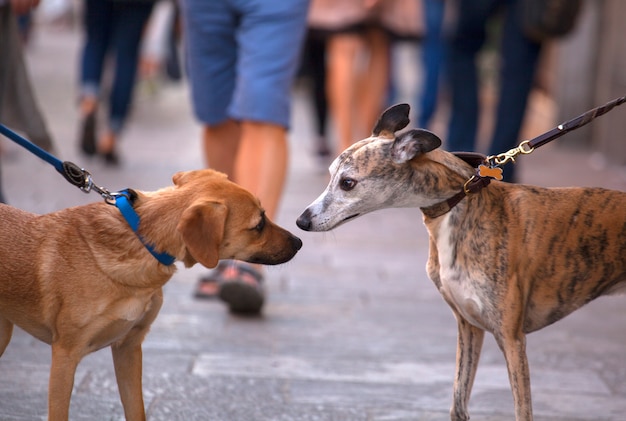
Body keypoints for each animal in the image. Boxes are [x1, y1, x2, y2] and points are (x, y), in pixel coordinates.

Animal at [0, 168, 300, 420]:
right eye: (258, 224)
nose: (299, 241)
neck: (142, 240)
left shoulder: (129, 347)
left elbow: (136, 409)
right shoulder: (65, 355)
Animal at [296, 103, 624, 418]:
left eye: (347, 183)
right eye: (330, 174)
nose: (301, 222)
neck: (461, 203)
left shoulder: (512, 338)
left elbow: (523, 410)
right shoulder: (469, 326)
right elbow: (458, 404)